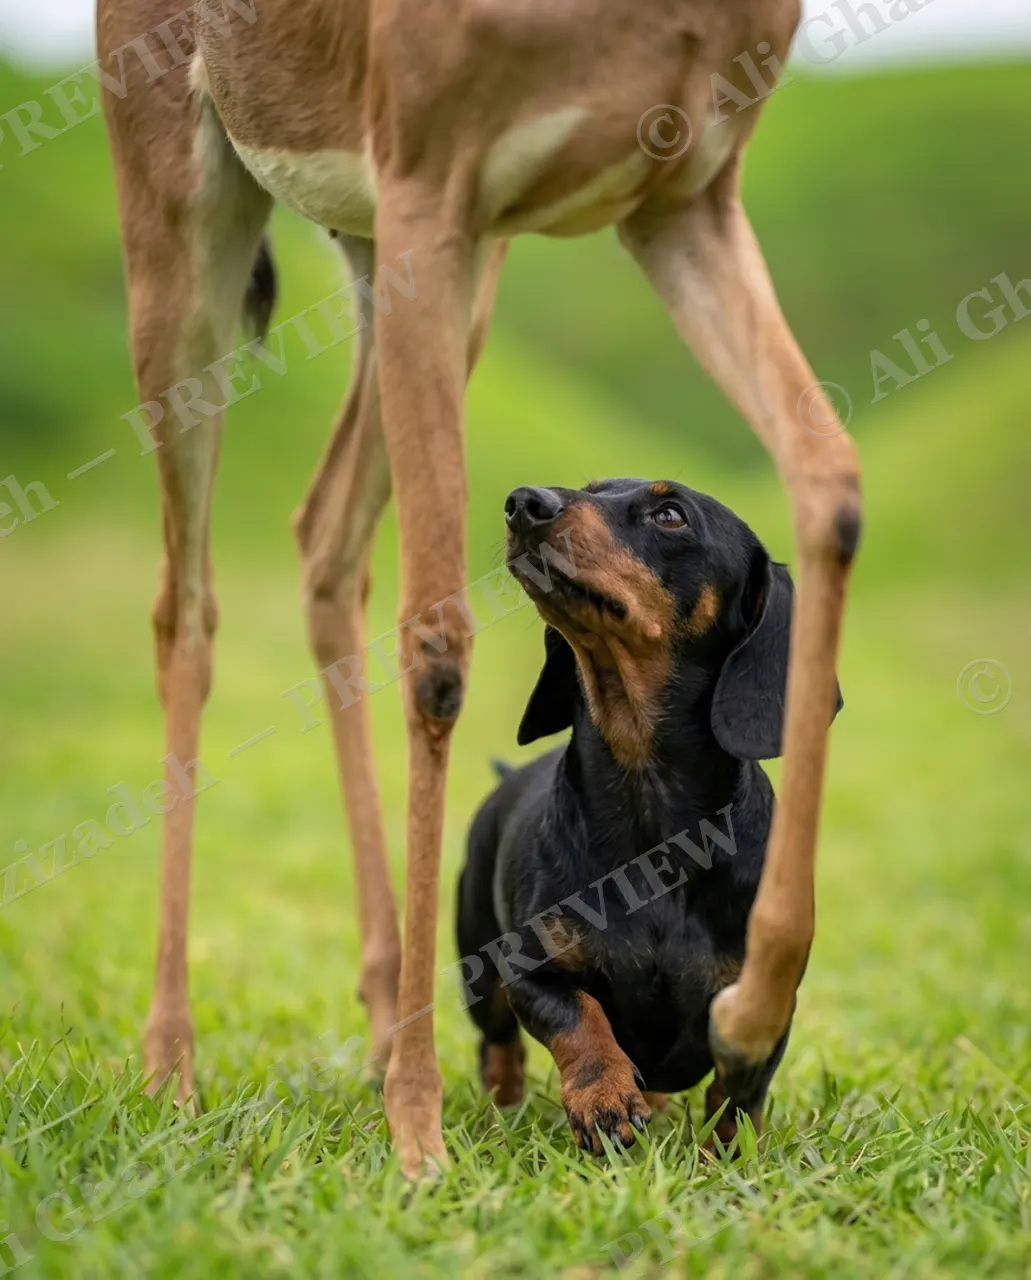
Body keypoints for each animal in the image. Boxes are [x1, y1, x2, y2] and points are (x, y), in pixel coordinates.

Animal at [96, 0, 861, 1179]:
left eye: (669, 513)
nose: (535, 507)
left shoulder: (680, 201)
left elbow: (830, 488)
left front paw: (748, 1019)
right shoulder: (427, 191)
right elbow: (436, 649)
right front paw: (417, 1134)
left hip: (424, 270)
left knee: (323, 541)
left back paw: (379, 1022)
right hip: (198, 229)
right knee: (188, 607)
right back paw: (174, 1064)